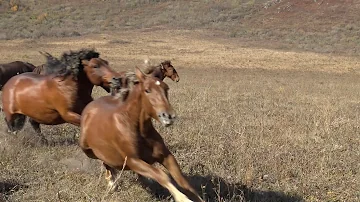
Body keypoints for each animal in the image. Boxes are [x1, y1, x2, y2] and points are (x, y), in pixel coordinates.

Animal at [79, 67, 202, 202]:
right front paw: (182, 198)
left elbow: (182, 180)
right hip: (87, 150)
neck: (138, 129)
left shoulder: (166, 156)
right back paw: (112, 183)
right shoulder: (133, 161)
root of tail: (90, 106)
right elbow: (161, 175)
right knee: (103, 161)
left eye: (166, 88)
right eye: (147, 90)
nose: (168, 116)